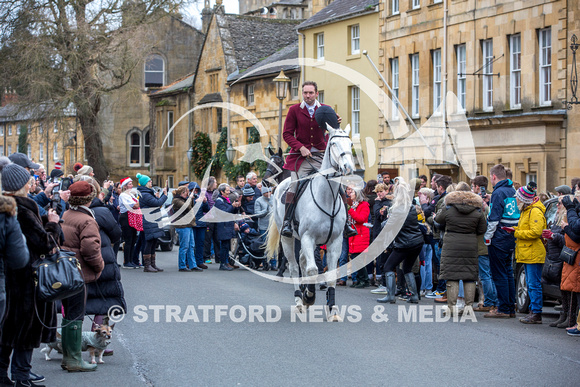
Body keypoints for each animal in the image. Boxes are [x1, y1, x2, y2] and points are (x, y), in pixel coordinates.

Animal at [266, 125, 356, 322]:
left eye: (351, 144)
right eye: (334, 143)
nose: (348, 167)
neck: (327, 198)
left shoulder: (335, 241)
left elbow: (329, 275)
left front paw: (333, 310)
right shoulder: (308, 238)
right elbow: (313, 270)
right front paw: (309, 296)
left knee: (301, 261)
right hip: (288, 238)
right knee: (294, 267)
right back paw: (300, 300)